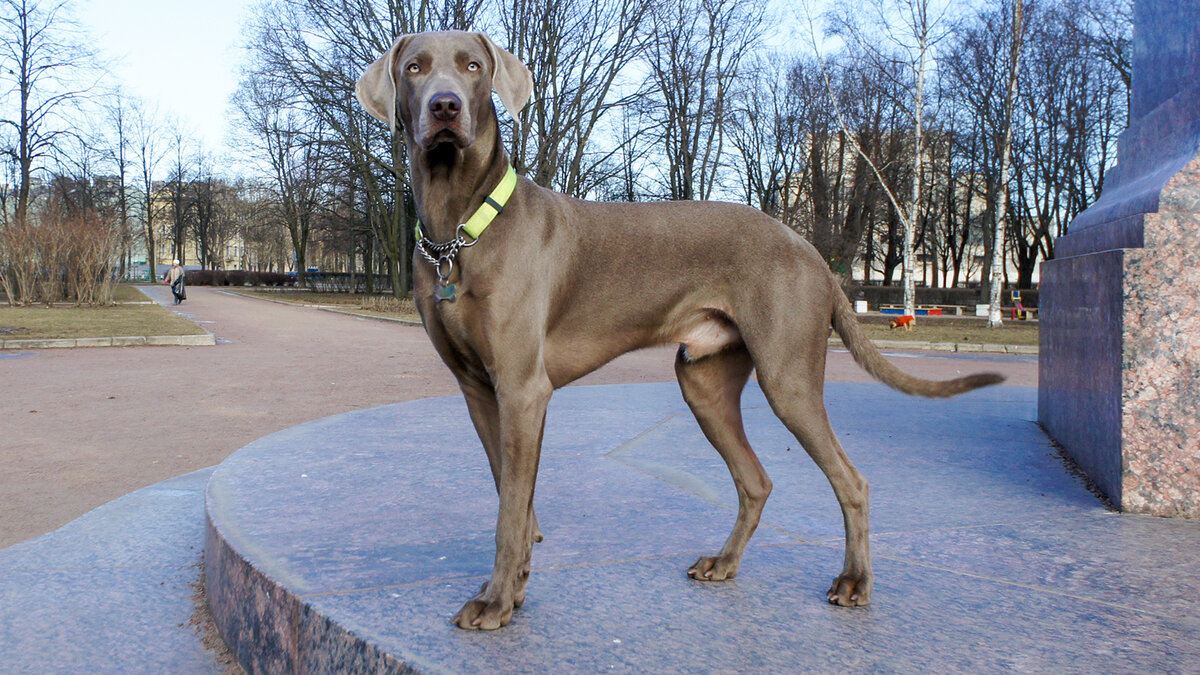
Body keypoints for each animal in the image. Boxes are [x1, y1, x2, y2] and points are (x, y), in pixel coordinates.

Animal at [355, 28, 1003, 629]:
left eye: (473, 66)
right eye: (415, 67)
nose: (444, 107)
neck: (460, 230)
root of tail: (813, 253)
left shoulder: (521, 388)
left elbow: (511, 510)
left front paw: (495, 601)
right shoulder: (478, 390)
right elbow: (511, 496)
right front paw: (512, 590)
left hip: (788, 378)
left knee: (852, 481)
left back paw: (854, 582)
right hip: (704, 382)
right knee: (756, 480)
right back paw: (724, 563)